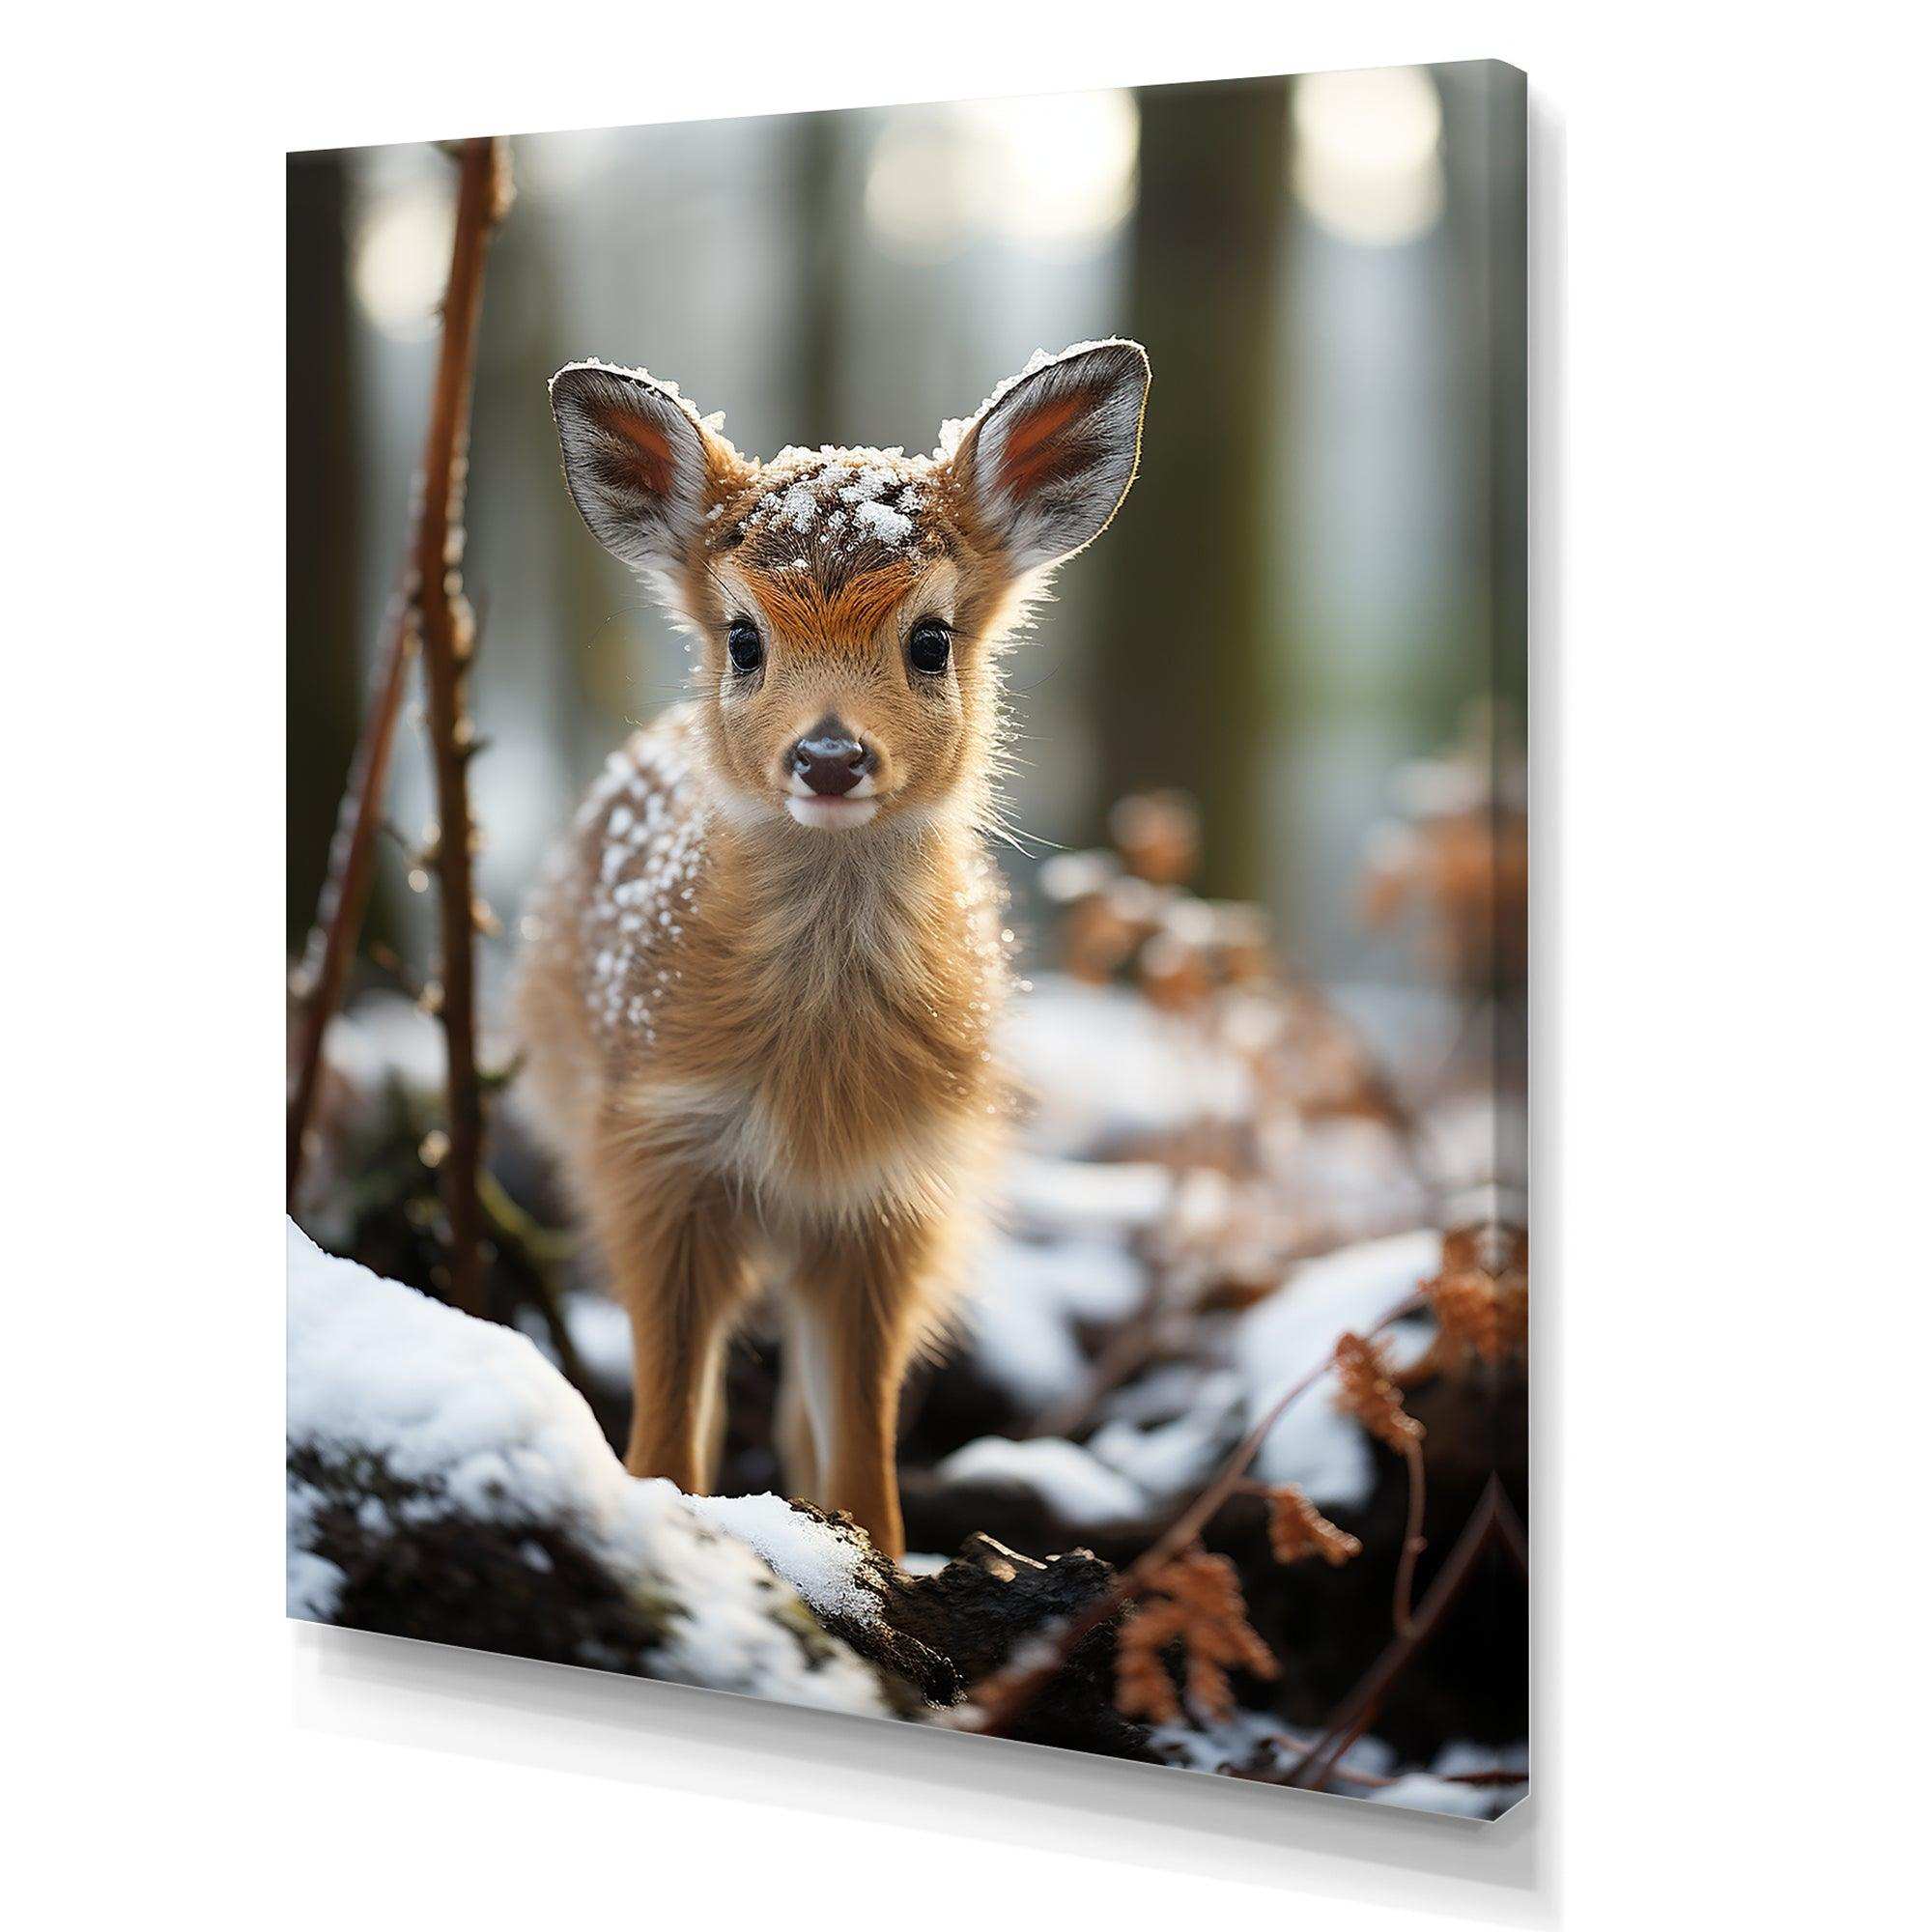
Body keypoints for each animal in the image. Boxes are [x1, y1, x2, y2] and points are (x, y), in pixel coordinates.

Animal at [514, 340, 1151, 1559]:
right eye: (743, 638)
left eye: (930, 638)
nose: (827, 755)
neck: (810, 1084)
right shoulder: (651, 1152)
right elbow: (671, 1409)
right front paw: (674, 1525)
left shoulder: (890, 1196)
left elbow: (859, 1427)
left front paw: (876, 1561)